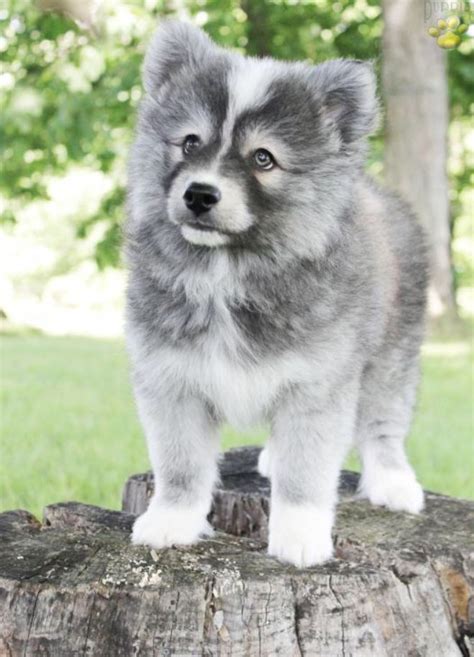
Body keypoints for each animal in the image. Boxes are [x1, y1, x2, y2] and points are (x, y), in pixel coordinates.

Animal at [124, 20, 428, 564]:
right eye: (189, 143)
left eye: (263, 159)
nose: (199, 194)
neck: (227, 272)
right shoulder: (171, 380)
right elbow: (181, 464)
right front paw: (172, 519)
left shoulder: (316, 386)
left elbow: (305, 472)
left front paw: (301, 536)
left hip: (392, 355)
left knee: (382, 424)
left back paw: (393, 482)